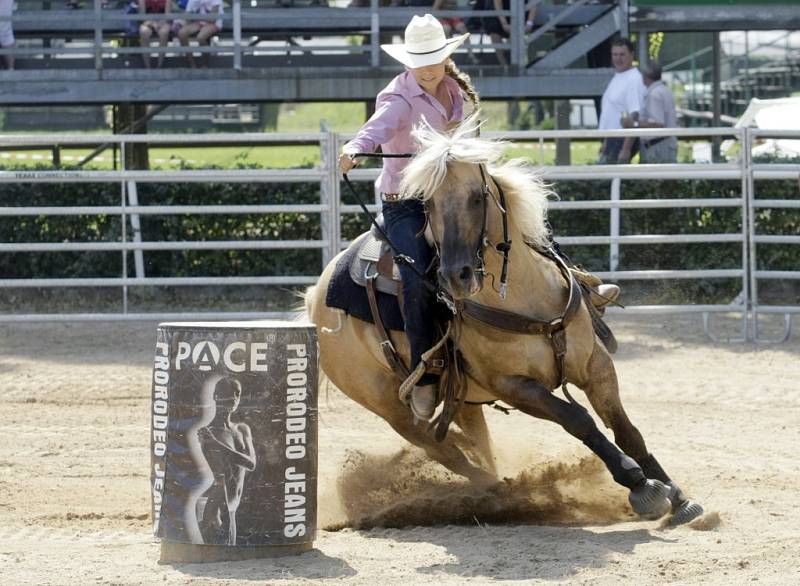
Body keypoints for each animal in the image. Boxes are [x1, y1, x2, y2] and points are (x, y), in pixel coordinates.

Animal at [304, 115, 704, 524]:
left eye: (477, 197)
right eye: (427, 203)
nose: (456, 277)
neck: (527, 300)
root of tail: (314, 298)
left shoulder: (596, 364)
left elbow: (626, 429)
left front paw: (677, 495)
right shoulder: (514, 386)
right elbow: (578, 419)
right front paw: (639, 484)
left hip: (462, 399)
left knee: (474, 445)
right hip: (389, 407)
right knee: (446, 453)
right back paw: (499, 494)